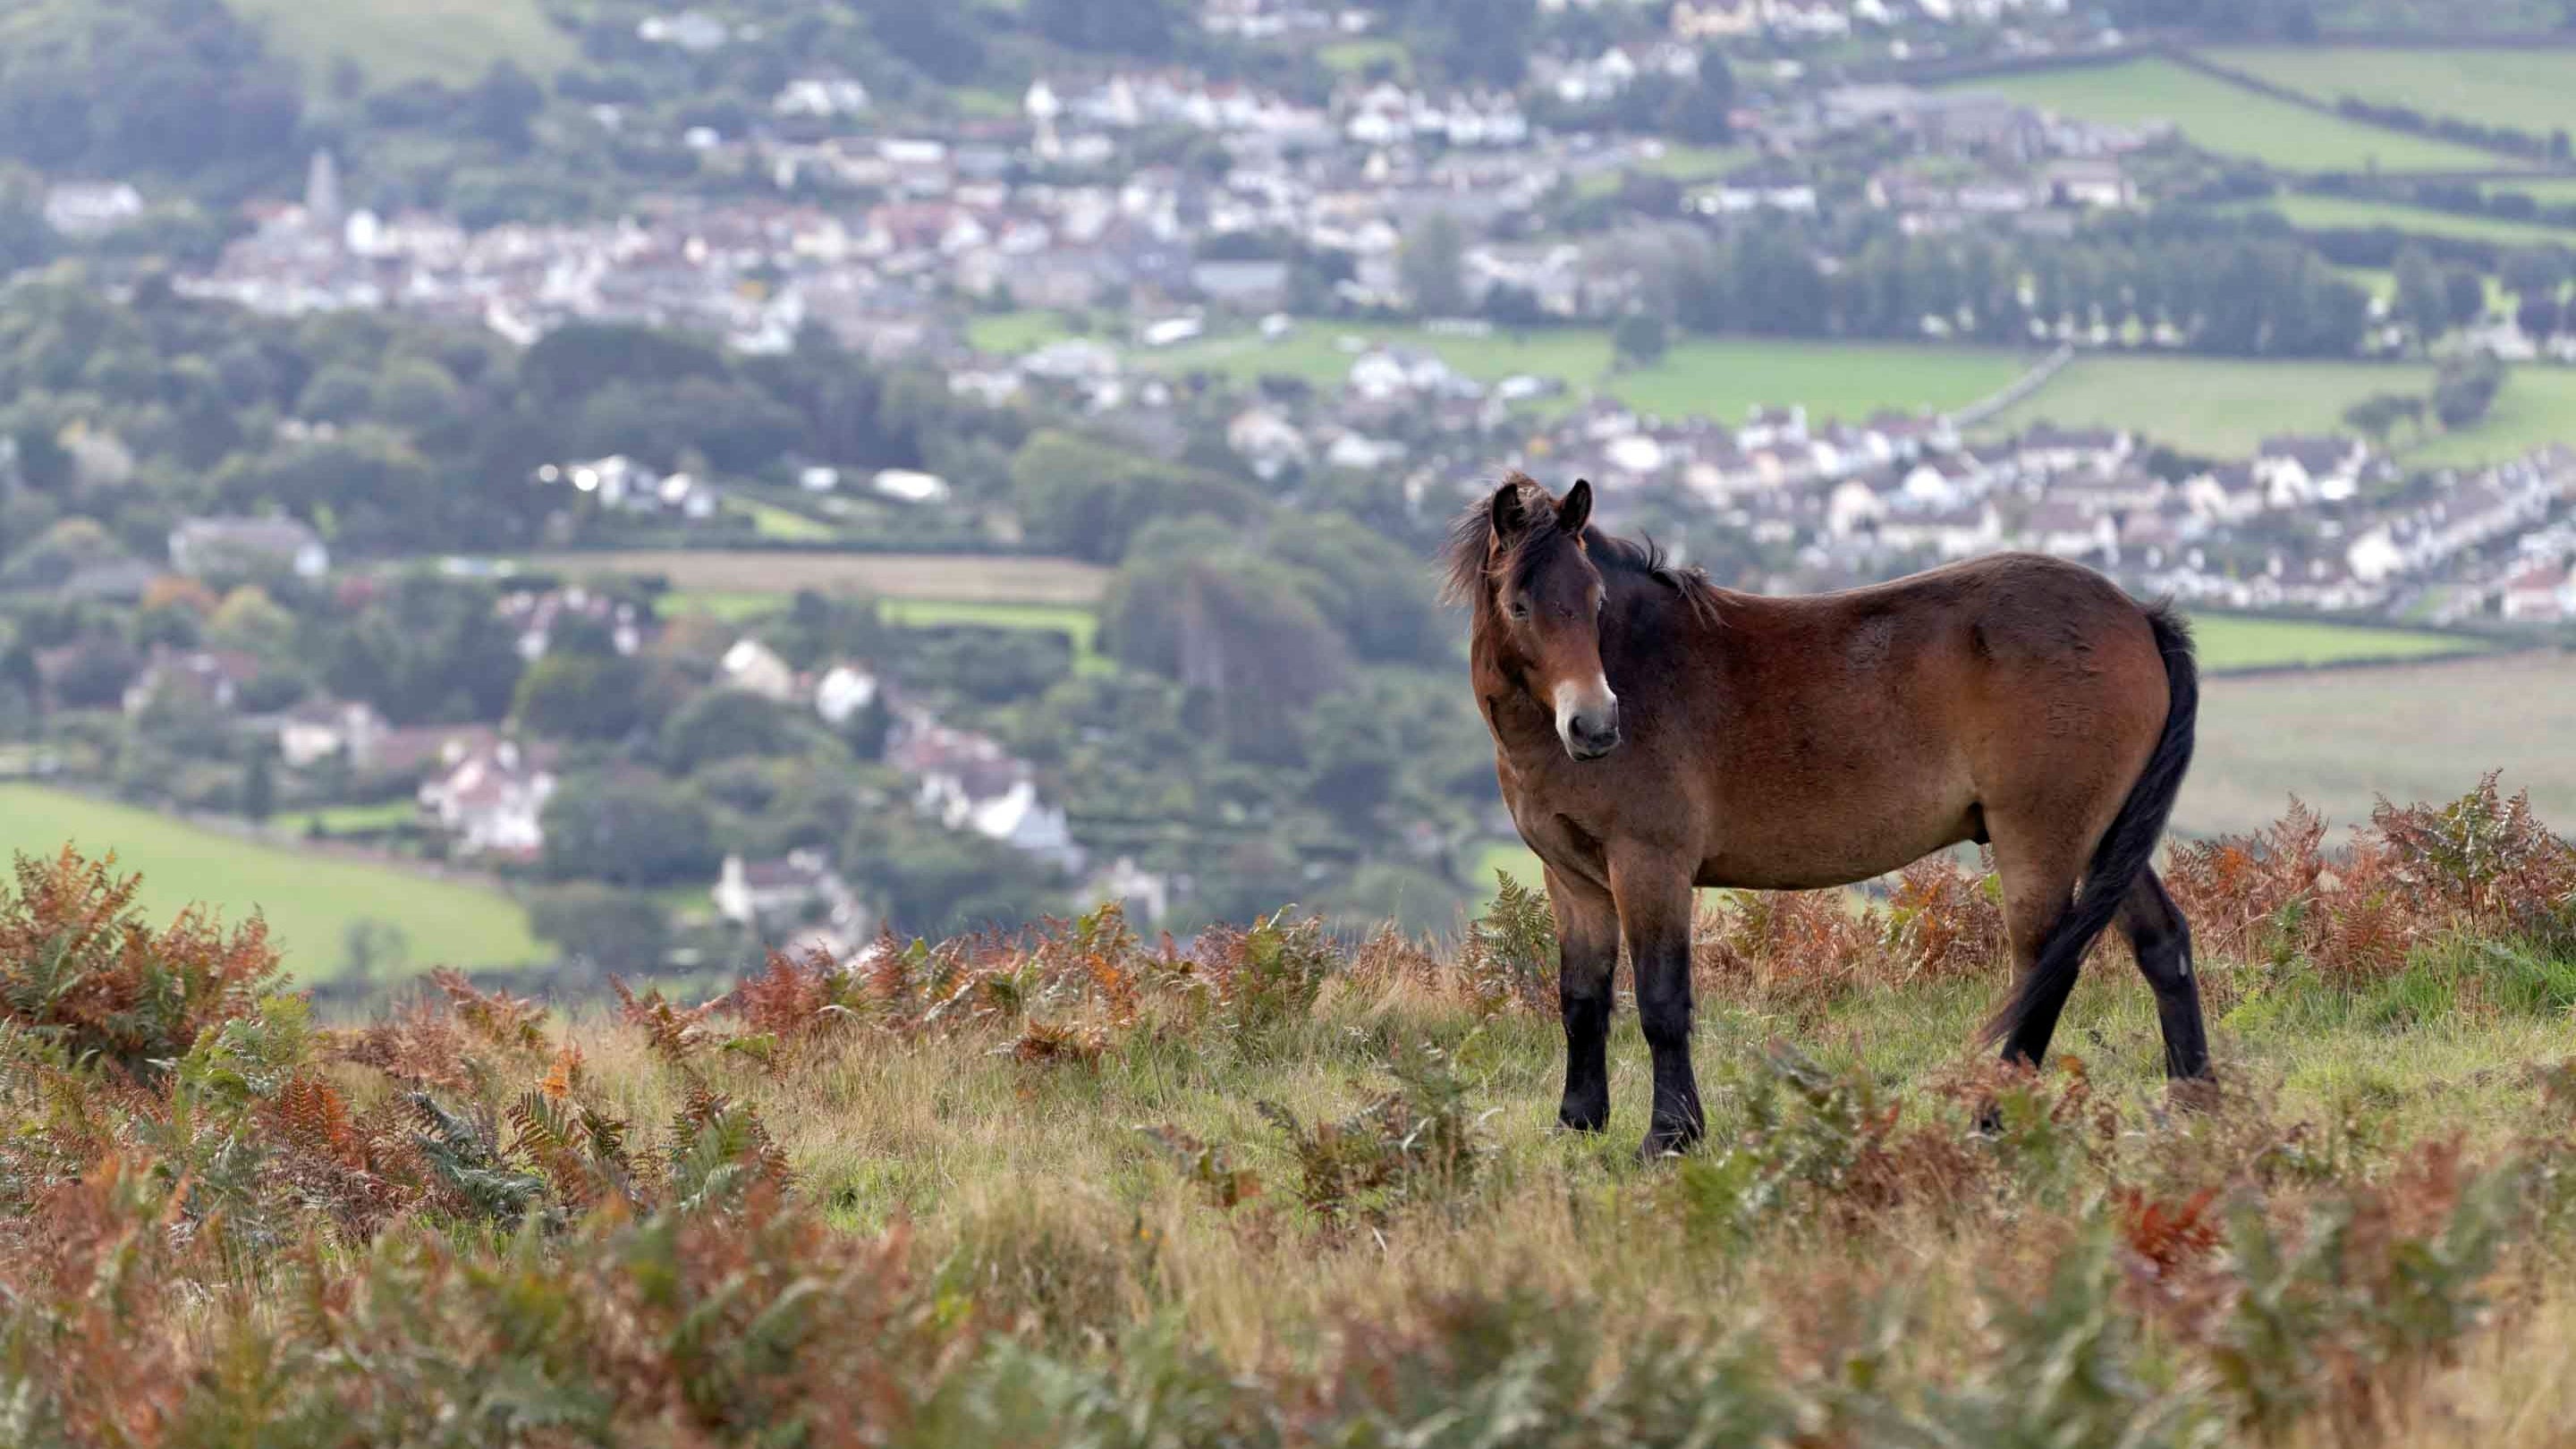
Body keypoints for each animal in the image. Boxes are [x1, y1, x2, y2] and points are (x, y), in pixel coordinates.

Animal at [1444, 474, 2206, 1159]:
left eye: (1595, 599)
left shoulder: (1649, 866)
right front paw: (1577, 1123)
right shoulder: (1574, 881)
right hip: (2103, 836)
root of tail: (2139, 616)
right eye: (1519, 605)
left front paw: (1670, 1137)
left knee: (2045, 967)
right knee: (2161, 942)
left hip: (2041, 839)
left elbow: (1661, 1003)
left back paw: (1990, 1121)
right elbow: (1581, 1001)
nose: (1596, 725)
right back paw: (2195, 1103)